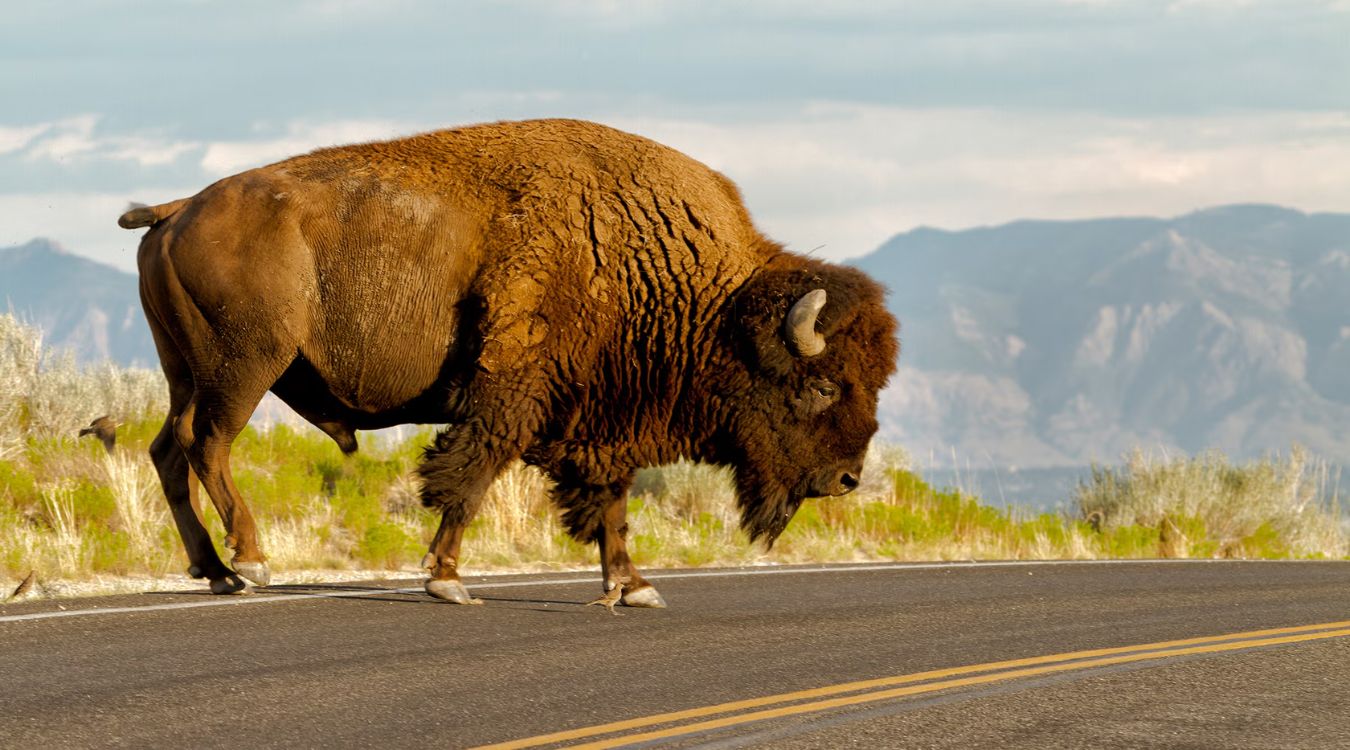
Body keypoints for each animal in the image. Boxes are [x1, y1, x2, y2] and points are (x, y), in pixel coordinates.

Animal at [121, 119, 898, 607]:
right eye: (820, 386)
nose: (847, 478)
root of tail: (179, 208)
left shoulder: (600, 417)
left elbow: (610, 503)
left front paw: (634, 586)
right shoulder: (512, 394)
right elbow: (471, 476)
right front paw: (446, 579)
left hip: (186, 370)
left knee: (167, 448)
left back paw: (214, 570)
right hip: (244, 367)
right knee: (207, 443)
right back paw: (250, 562)